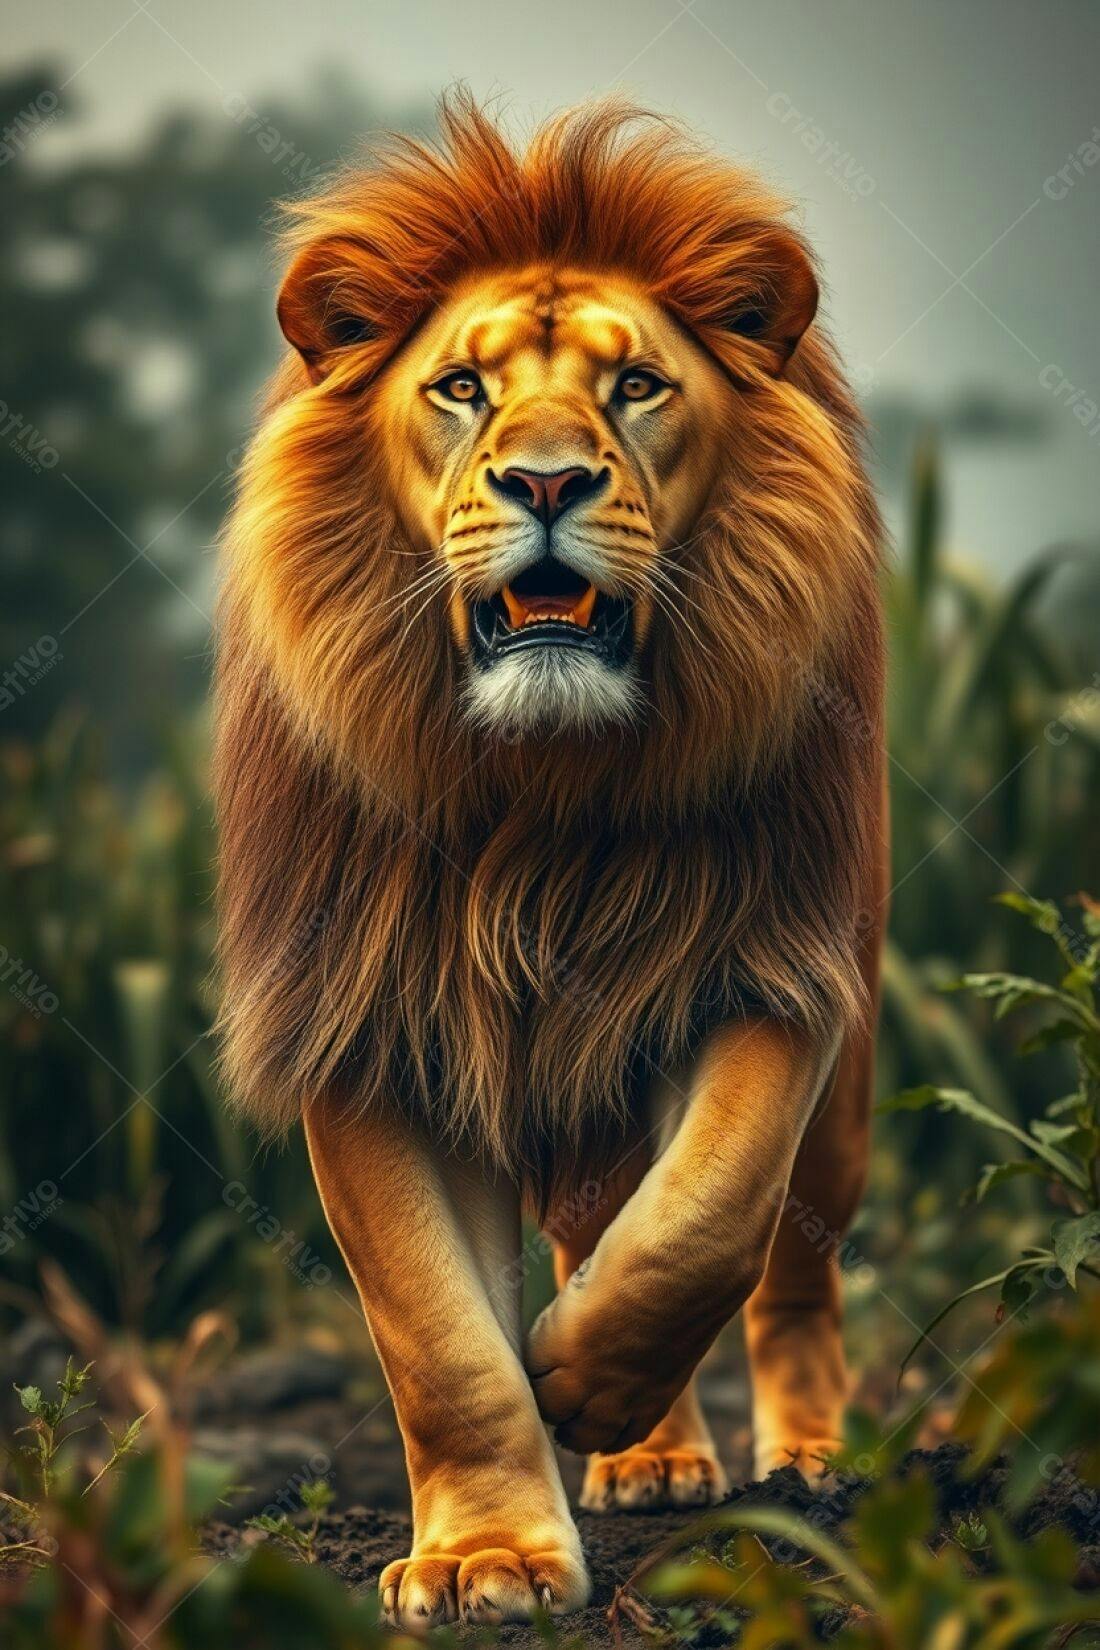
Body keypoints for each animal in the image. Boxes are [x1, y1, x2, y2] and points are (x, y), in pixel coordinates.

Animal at [214, 94, 886, 1629]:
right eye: (461, 388)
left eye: (636, 386)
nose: (545, 480)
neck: (540, 791)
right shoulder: (361, 1020)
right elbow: (439, 1339)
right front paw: (491, 1556)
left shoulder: (772, 964)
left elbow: (703, 1217)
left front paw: (582, 1380)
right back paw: (649, 1459)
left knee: (789, 1272)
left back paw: (799, 1459)